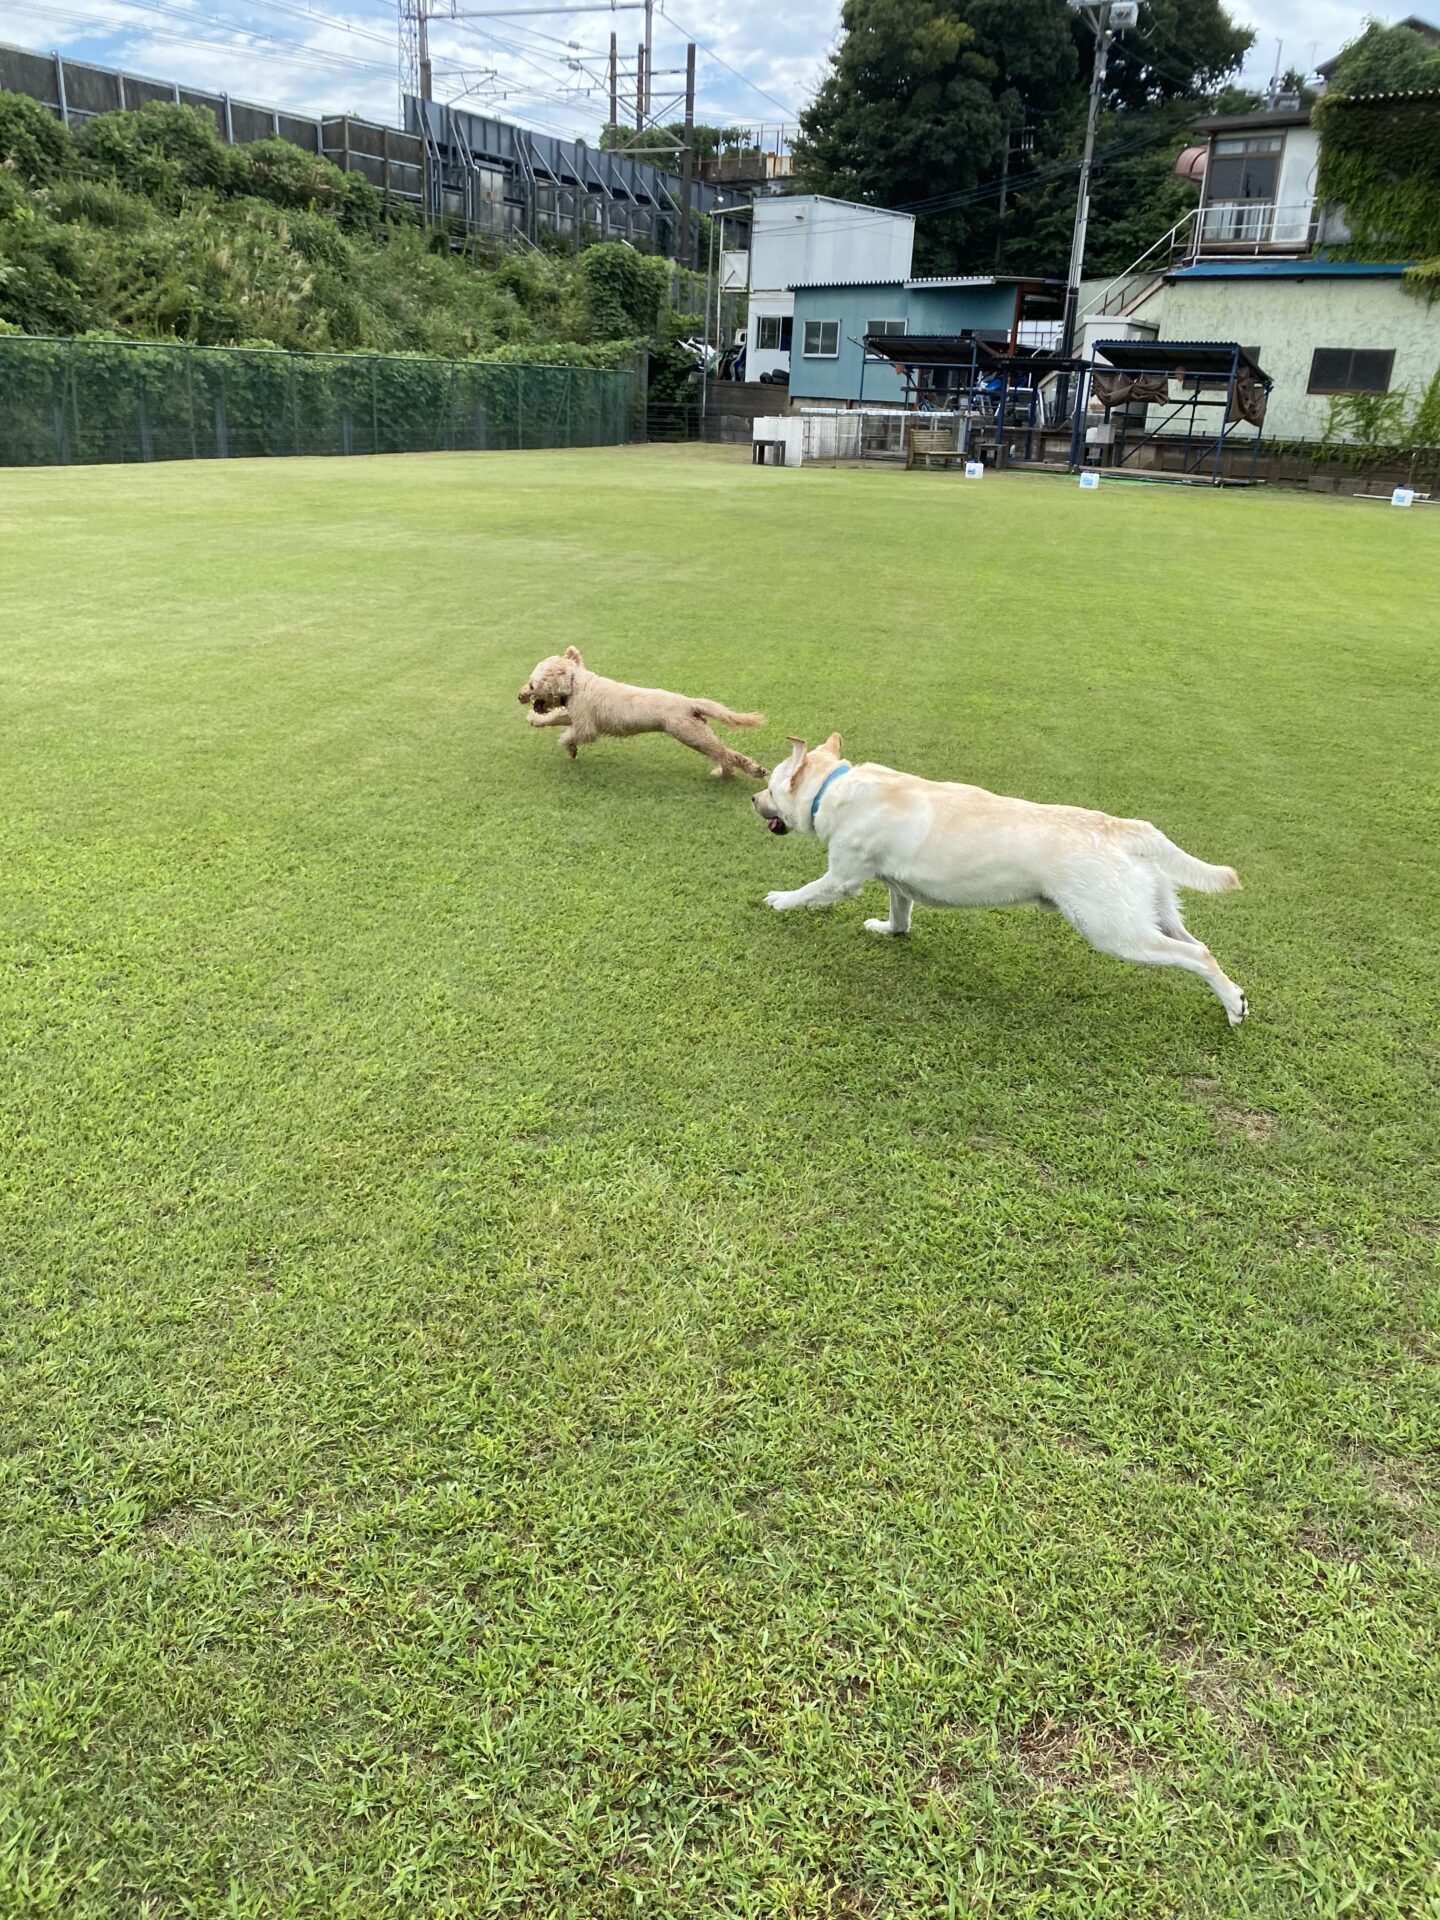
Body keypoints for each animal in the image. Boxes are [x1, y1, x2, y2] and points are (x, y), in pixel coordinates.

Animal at [518, 648, 767, 780]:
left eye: (532, 685)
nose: (520, 696)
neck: (576, 683)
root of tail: (689, 703)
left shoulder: (586, 725)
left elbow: (568, 735)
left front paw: (570, 748)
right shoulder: (575, 714)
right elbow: (554, 718)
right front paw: (535, 720)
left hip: (690, 734)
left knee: (725, 754)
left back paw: (741, 772)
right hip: (699, 731)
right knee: (726, 753)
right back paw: (738, 771)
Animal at [753, 734, 1248, 1025]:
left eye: (772, 788)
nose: (753, 798)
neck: (833, 789)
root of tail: (1124, 828)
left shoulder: (843, 876)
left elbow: (810, 891)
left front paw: (779, 900)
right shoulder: (896, 883)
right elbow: (901, 912)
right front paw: (888, 929)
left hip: (1113, 930)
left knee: (1197, 955)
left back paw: (1233, 1007)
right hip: (1152, 912)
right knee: (1198, 942)